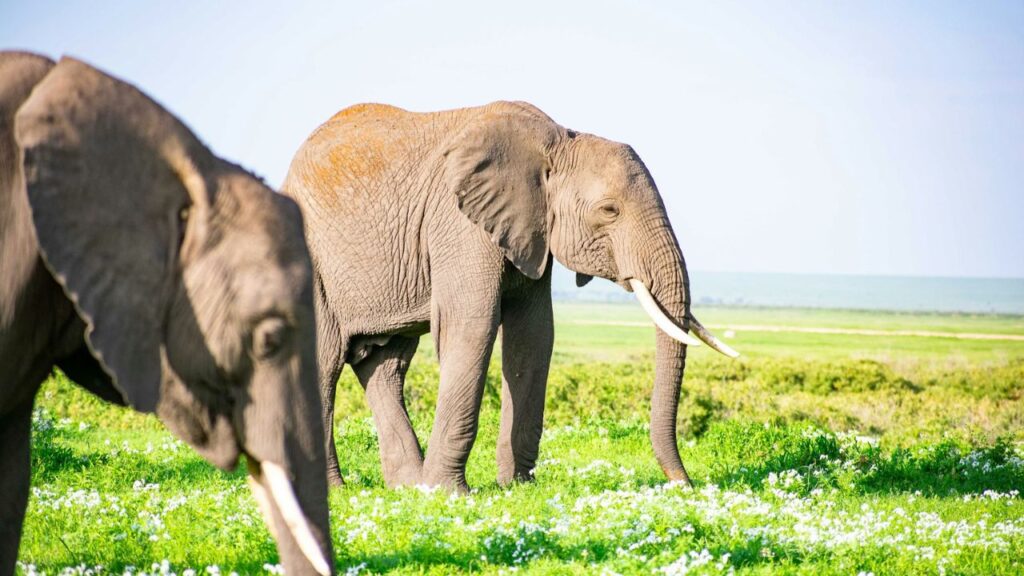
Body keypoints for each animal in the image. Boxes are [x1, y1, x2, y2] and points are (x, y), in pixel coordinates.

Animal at [282, 100, 737, 492]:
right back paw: (339, 490)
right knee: (324, 362)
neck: (557, 141)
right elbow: (473, 326)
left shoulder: (532, 228)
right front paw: (450, 494)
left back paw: (408, 488)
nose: (684, 484)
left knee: (386, 366)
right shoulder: (459, 223)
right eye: (609, 211)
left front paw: (516, 487)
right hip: (309, 259)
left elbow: (534, 335)